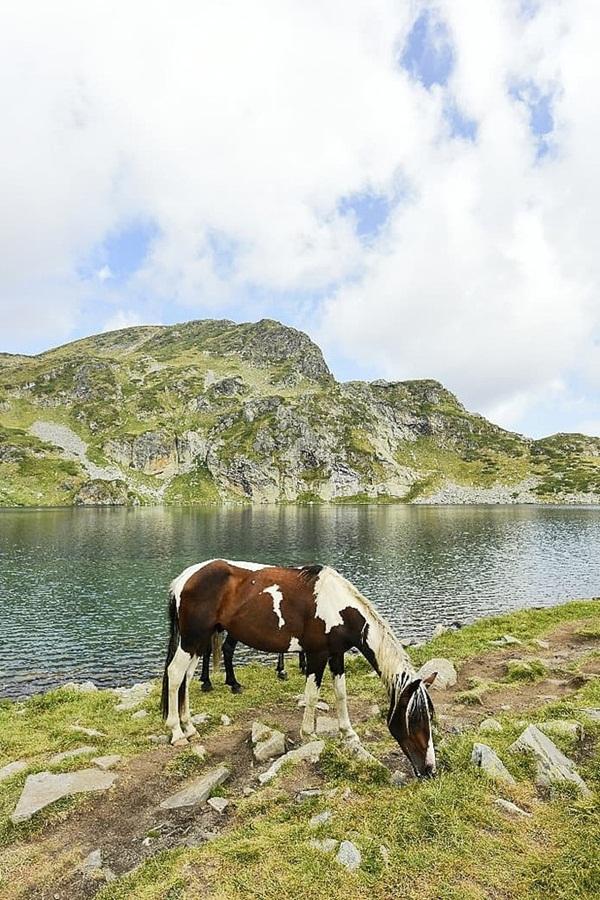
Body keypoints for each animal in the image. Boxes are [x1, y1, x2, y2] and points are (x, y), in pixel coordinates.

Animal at [162, 560, 438, 776]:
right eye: (415, 721)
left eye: (429, 718)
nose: (429, 770)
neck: (337, 606)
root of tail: (184, 579)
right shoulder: (317, 655)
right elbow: (312, 695)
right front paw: (309, 734)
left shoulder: (336, 655)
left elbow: (341, 694)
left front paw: (348, 733)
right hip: (191, 640)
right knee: (175, 675)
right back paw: (177, 733)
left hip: (199, 642)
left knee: (186, 678)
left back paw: (190, 728)